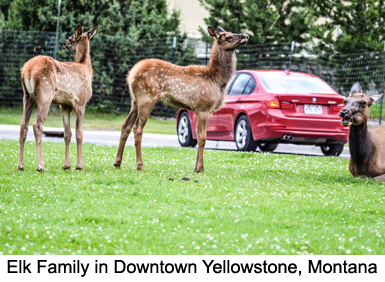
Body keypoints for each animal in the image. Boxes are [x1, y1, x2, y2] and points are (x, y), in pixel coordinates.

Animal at [17, 24, 99, 172]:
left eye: (70, 38)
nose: (64, 43)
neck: (86, 68)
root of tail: (28, 70)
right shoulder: (81, 102)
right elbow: (79, 134)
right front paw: (79, 165)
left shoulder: (64, 105)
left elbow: (67, 134)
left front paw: (66, 165)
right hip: (45, 94)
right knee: (37, 124)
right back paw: (40, 166)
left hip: (27, 95)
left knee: (23, 124)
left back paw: (21, 165)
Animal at [112, 26, 248, 173]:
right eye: (228, 37)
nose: (245, 35)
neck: (217, 80)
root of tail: (130, 75)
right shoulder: (203, 107)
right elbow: (202, 138)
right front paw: (200, 168)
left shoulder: (209, 111)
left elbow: (200, 136)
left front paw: (196, 167)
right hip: (146, 98)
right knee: (138, 128)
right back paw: (140, 165)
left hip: (134, 101)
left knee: (126, 125)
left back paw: (117, 163)